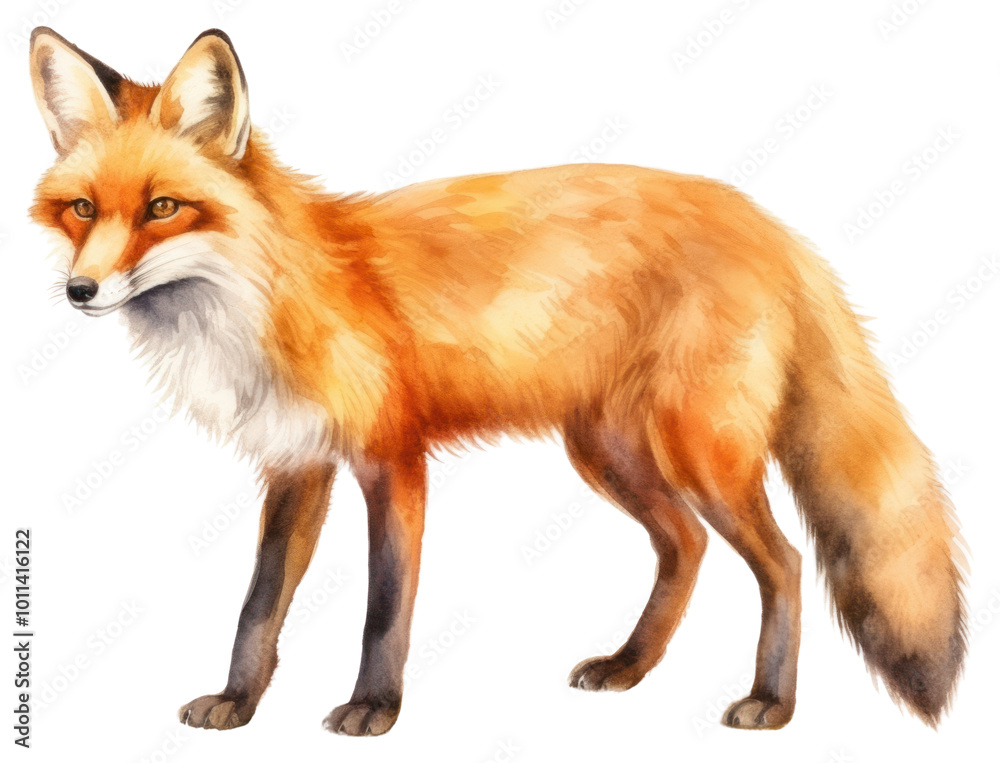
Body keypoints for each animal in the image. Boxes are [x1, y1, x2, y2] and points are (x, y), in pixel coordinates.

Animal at [29, 27, 966, 736]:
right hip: (609, 451)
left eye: (162, 208)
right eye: (84, 209)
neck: (268, 297)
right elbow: (258, 606)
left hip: (703, 452)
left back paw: (771, 699)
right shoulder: (297, 464)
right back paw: (629, 666)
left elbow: (384, 606)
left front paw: (375, 708)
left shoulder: (393, 460)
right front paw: (239, 700)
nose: (80, 291)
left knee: (784, 561)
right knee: (685, 546)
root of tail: (769, 222)